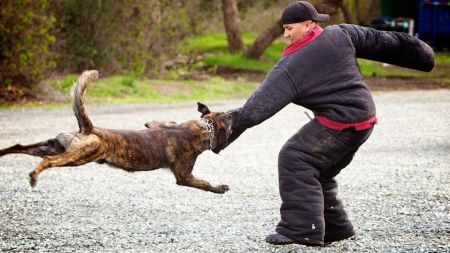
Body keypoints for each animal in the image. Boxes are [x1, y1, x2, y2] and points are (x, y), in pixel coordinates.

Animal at [0, 70, 232, 193]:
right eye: (227, 121)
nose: (233, 114)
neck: (203, 128)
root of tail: (89, 129)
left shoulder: (157, 123)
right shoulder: (184, 176)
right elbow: (204, 184)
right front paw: (219, 187)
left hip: (52, 145)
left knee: (19, 146)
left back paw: (3, 153)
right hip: (78, 156)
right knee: (48, 161)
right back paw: (33, 176)